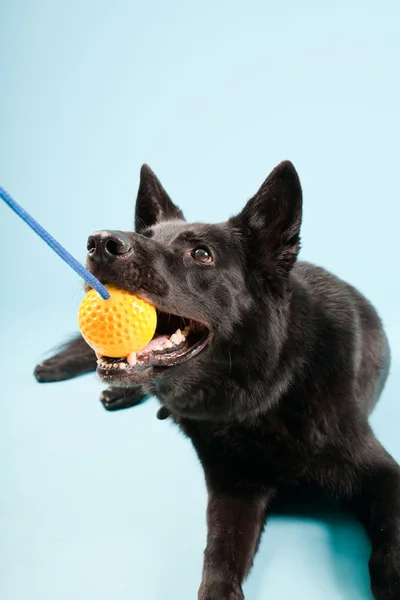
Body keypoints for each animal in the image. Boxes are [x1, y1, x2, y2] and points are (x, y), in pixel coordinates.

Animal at [34, 161, 400, 600]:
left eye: (201, 254)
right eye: (146, 236)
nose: (100, 242)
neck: (265, 389)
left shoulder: (385, 476)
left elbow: (389, 546)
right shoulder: (233, 489)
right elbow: (218, 557)